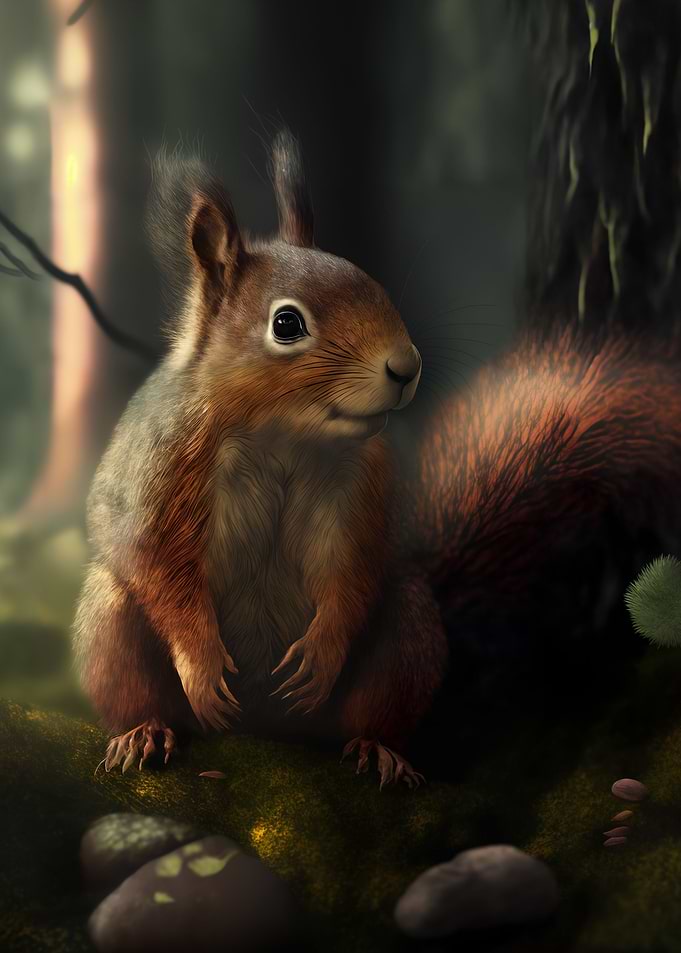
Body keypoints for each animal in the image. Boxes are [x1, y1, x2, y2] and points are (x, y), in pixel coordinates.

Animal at [73, 129, 681, 788]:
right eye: (286, 323)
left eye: (373, 284)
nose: (405, 366)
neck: (282, 435)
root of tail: (267, 729)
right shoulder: (162, 470)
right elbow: (159, 565)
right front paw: (202, 663)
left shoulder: (363, 486)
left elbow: (354, 570)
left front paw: (322, 652)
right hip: (109, 621)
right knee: (128, 651)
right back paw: (142, 732)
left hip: (407, 628)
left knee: (374, 699)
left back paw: (378, 750)